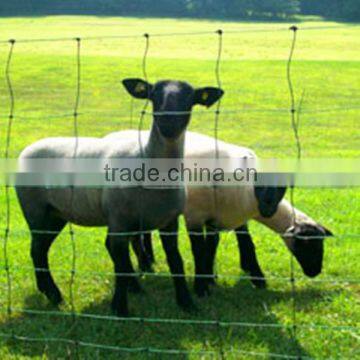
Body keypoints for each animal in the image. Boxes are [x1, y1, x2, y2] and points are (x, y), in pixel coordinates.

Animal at [16, 79, 225, 316]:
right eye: (154, 95)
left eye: (190, 97)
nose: (168, 124)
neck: (145, 158)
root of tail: (29, 148)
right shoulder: (119, 220)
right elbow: (121, 263)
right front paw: (120, 308)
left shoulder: (169, 221)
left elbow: (175, 261)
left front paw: (187, 303)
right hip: (36, 211)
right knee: (37, 251)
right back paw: (54, 294)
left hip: (55, 215)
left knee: (41, 249)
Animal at [103, 129, 332, 296]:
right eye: (305, 244)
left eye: (320, 244)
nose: (315, 272)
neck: (245, 195)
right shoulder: (196, 215)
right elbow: (200, 249)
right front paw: (202, 285)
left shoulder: (224, 218)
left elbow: (231, 244)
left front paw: (240, 274)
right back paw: (142, 266)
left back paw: (148, 261)